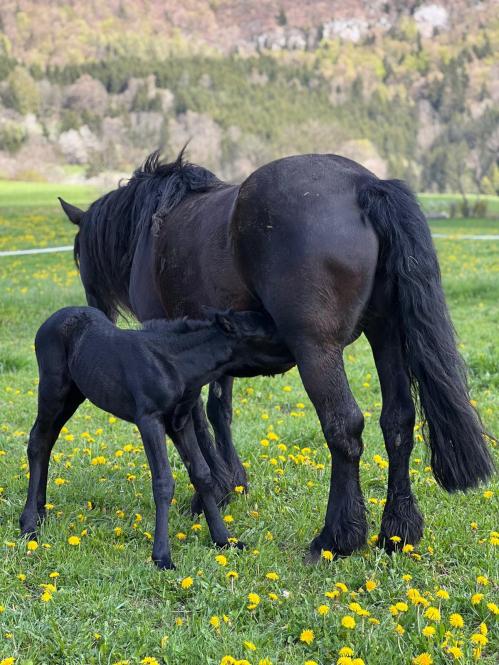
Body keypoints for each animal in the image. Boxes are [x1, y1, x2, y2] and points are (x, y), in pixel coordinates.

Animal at [21, 308, 280, 568]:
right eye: (264, 333)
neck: (174, 365)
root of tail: (49, 321)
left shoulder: (180, 422)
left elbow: (202, 473)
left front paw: (224, 540)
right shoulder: (149, 420)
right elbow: (163, 481)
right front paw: (162, 557)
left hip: (73, 395)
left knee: (48, 441)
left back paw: (41, 512)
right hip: (54, 390)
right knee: (37, 441)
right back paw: (29, 524)